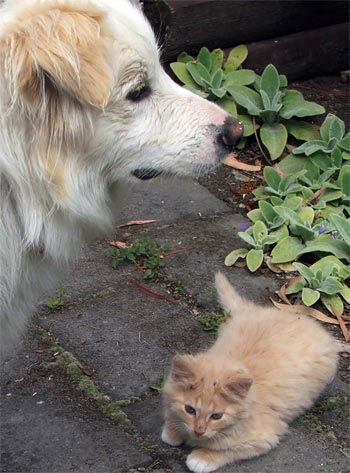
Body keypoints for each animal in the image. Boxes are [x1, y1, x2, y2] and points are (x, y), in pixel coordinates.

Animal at [162, 272, 340, 470]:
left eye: (216, 416)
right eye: (190, 409)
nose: (199, 431)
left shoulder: (264, 438)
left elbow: (227, 450)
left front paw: (202, 458)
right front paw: (173, 430)